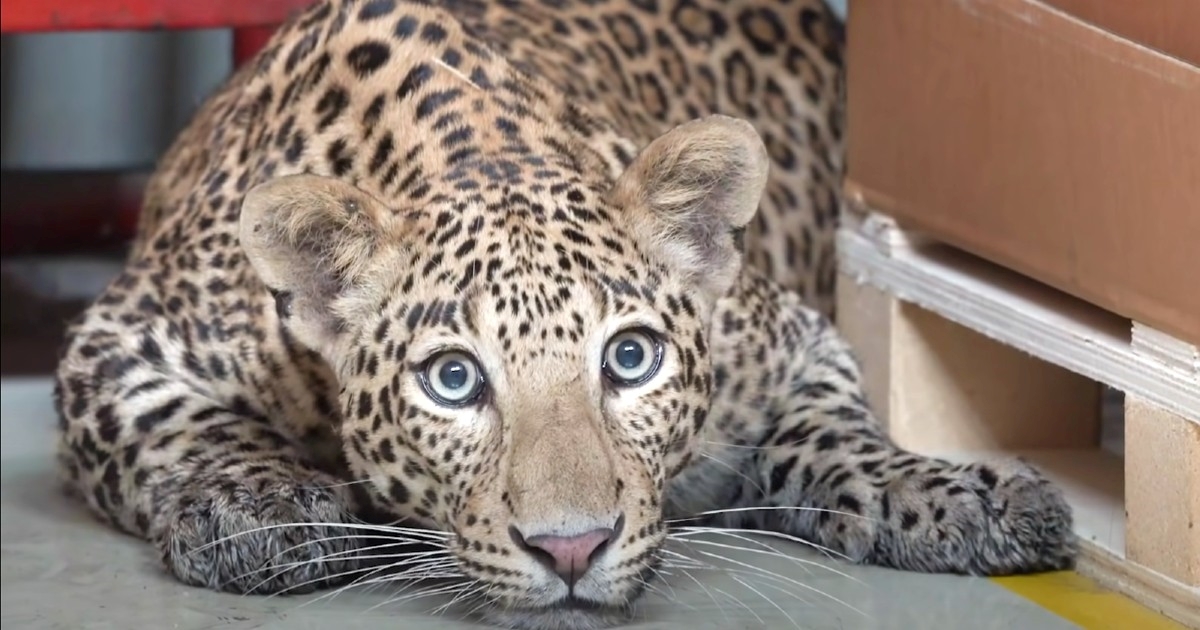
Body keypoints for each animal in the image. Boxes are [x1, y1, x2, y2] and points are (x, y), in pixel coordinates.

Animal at [53, 0, 1076, 628]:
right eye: (453, 379)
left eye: (630, 360)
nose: (573, 548)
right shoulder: (118, 344)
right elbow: (183, 426)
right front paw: (261, 509)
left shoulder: (794, 342)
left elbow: (837, 433)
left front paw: (960, 497)